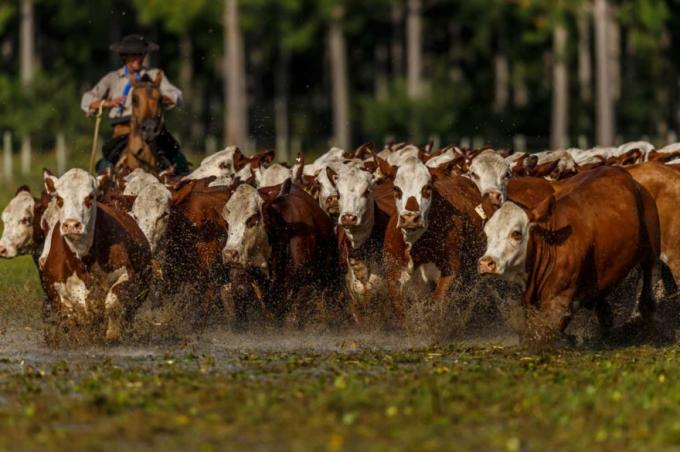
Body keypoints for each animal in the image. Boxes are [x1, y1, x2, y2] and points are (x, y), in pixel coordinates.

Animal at [40, 169, 151, 342]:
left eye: (89, 197)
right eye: (59, 198)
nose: (71, 225)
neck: (83, 259)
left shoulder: (127, 274)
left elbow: (112, 303)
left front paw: (112, 333)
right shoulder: (55, 290)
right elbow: (72, 314)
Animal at [478, 166, 660, 342]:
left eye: (516, 234)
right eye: (487, 233)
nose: (486, 263)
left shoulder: (559, 303)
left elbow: (540, 335)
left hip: (650, 254)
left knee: (646, 285)